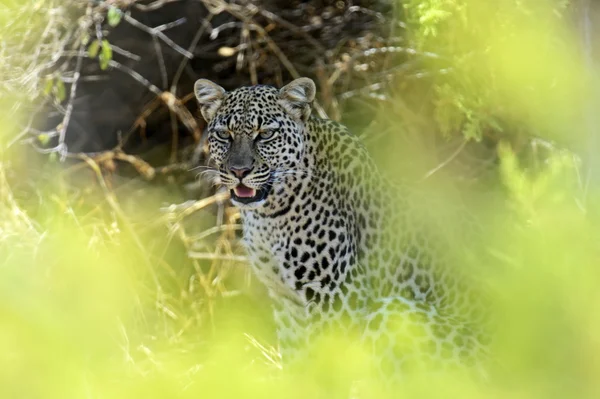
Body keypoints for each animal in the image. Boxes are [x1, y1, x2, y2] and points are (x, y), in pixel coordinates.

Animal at [195, 76, 490, 384]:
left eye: (265, 134)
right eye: (224, 135)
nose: (239, 171)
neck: (268, 215)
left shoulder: (337, 295)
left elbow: (329, 364)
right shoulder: (287, 301)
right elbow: (297, 361)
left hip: (392, 315)